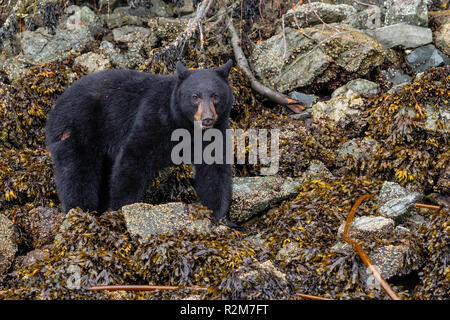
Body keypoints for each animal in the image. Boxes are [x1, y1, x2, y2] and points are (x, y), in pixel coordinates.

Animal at [46, 60, 236, 225]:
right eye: (195, 97)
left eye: (215, 96)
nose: (207, 119)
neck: (187, 126)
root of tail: (56, 105)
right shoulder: (154, 117)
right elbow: (133, 159)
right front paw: (125, 208)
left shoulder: (215, 134)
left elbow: (214, 170)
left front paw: (220, 216)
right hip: (77, 127)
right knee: (76, 172)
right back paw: (81, 210)